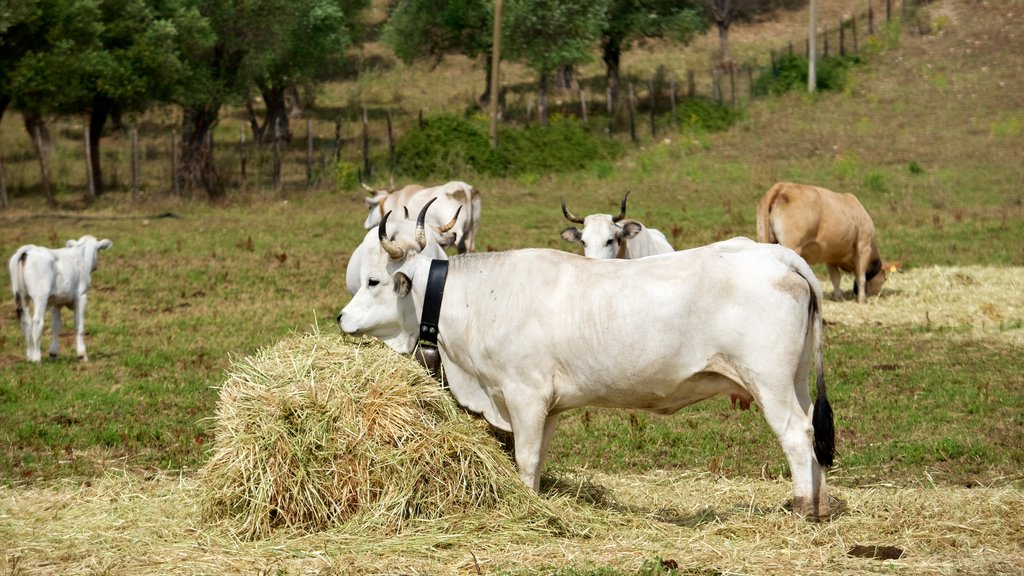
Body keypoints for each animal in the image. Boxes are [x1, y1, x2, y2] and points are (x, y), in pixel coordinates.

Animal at [339, 207, 835, 520]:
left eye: (374, 281)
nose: (341, 317)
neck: (476, 297)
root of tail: (775, 253)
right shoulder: (549, 405)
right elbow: (537, 460)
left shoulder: (524, 396)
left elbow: (525, 458)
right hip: (794, 380)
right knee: (811, 430)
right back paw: (821, 505)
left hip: (769, 382)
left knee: (795, 435)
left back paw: (801, 510)